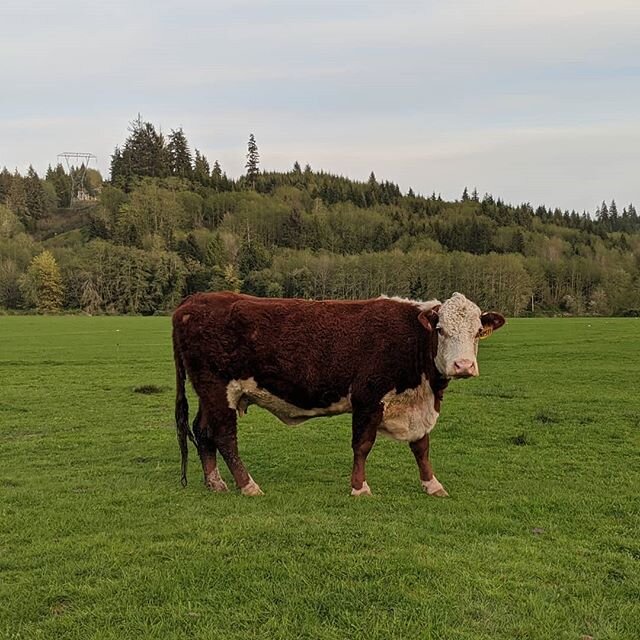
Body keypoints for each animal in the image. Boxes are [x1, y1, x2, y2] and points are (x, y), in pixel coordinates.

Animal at [171, 292, 504, 498]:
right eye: (441, 329)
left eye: (477, 331)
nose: (463, 365)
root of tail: (193, 301)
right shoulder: (368, 398)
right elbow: (362, 445)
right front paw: (359, 488)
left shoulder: (416, 407)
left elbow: (421, 447)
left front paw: (432, 485)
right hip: (219, 389)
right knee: (225, 436)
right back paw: (248, 485)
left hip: (208, 393)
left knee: (203, 430)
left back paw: (215, 482)